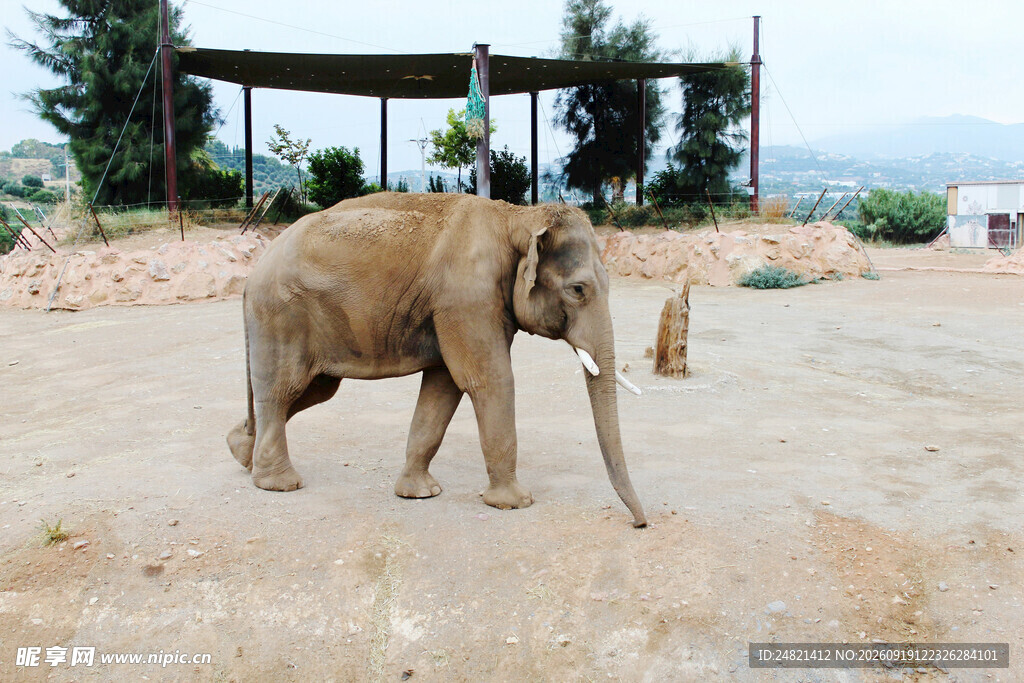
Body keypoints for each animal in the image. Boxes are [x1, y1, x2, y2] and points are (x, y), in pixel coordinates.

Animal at [227, 192, 647, 527]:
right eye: (578, 290)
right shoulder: (466, 297)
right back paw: (279, 483)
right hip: (281, 316)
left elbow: (443, 388)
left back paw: (241, 452)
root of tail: (253, 273)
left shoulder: (458, 307)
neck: (517, 217)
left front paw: (420, 493)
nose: (640, 524)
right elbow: (489, 380)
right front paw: (516, 503)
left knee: (310, 391)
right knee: (283, 391)